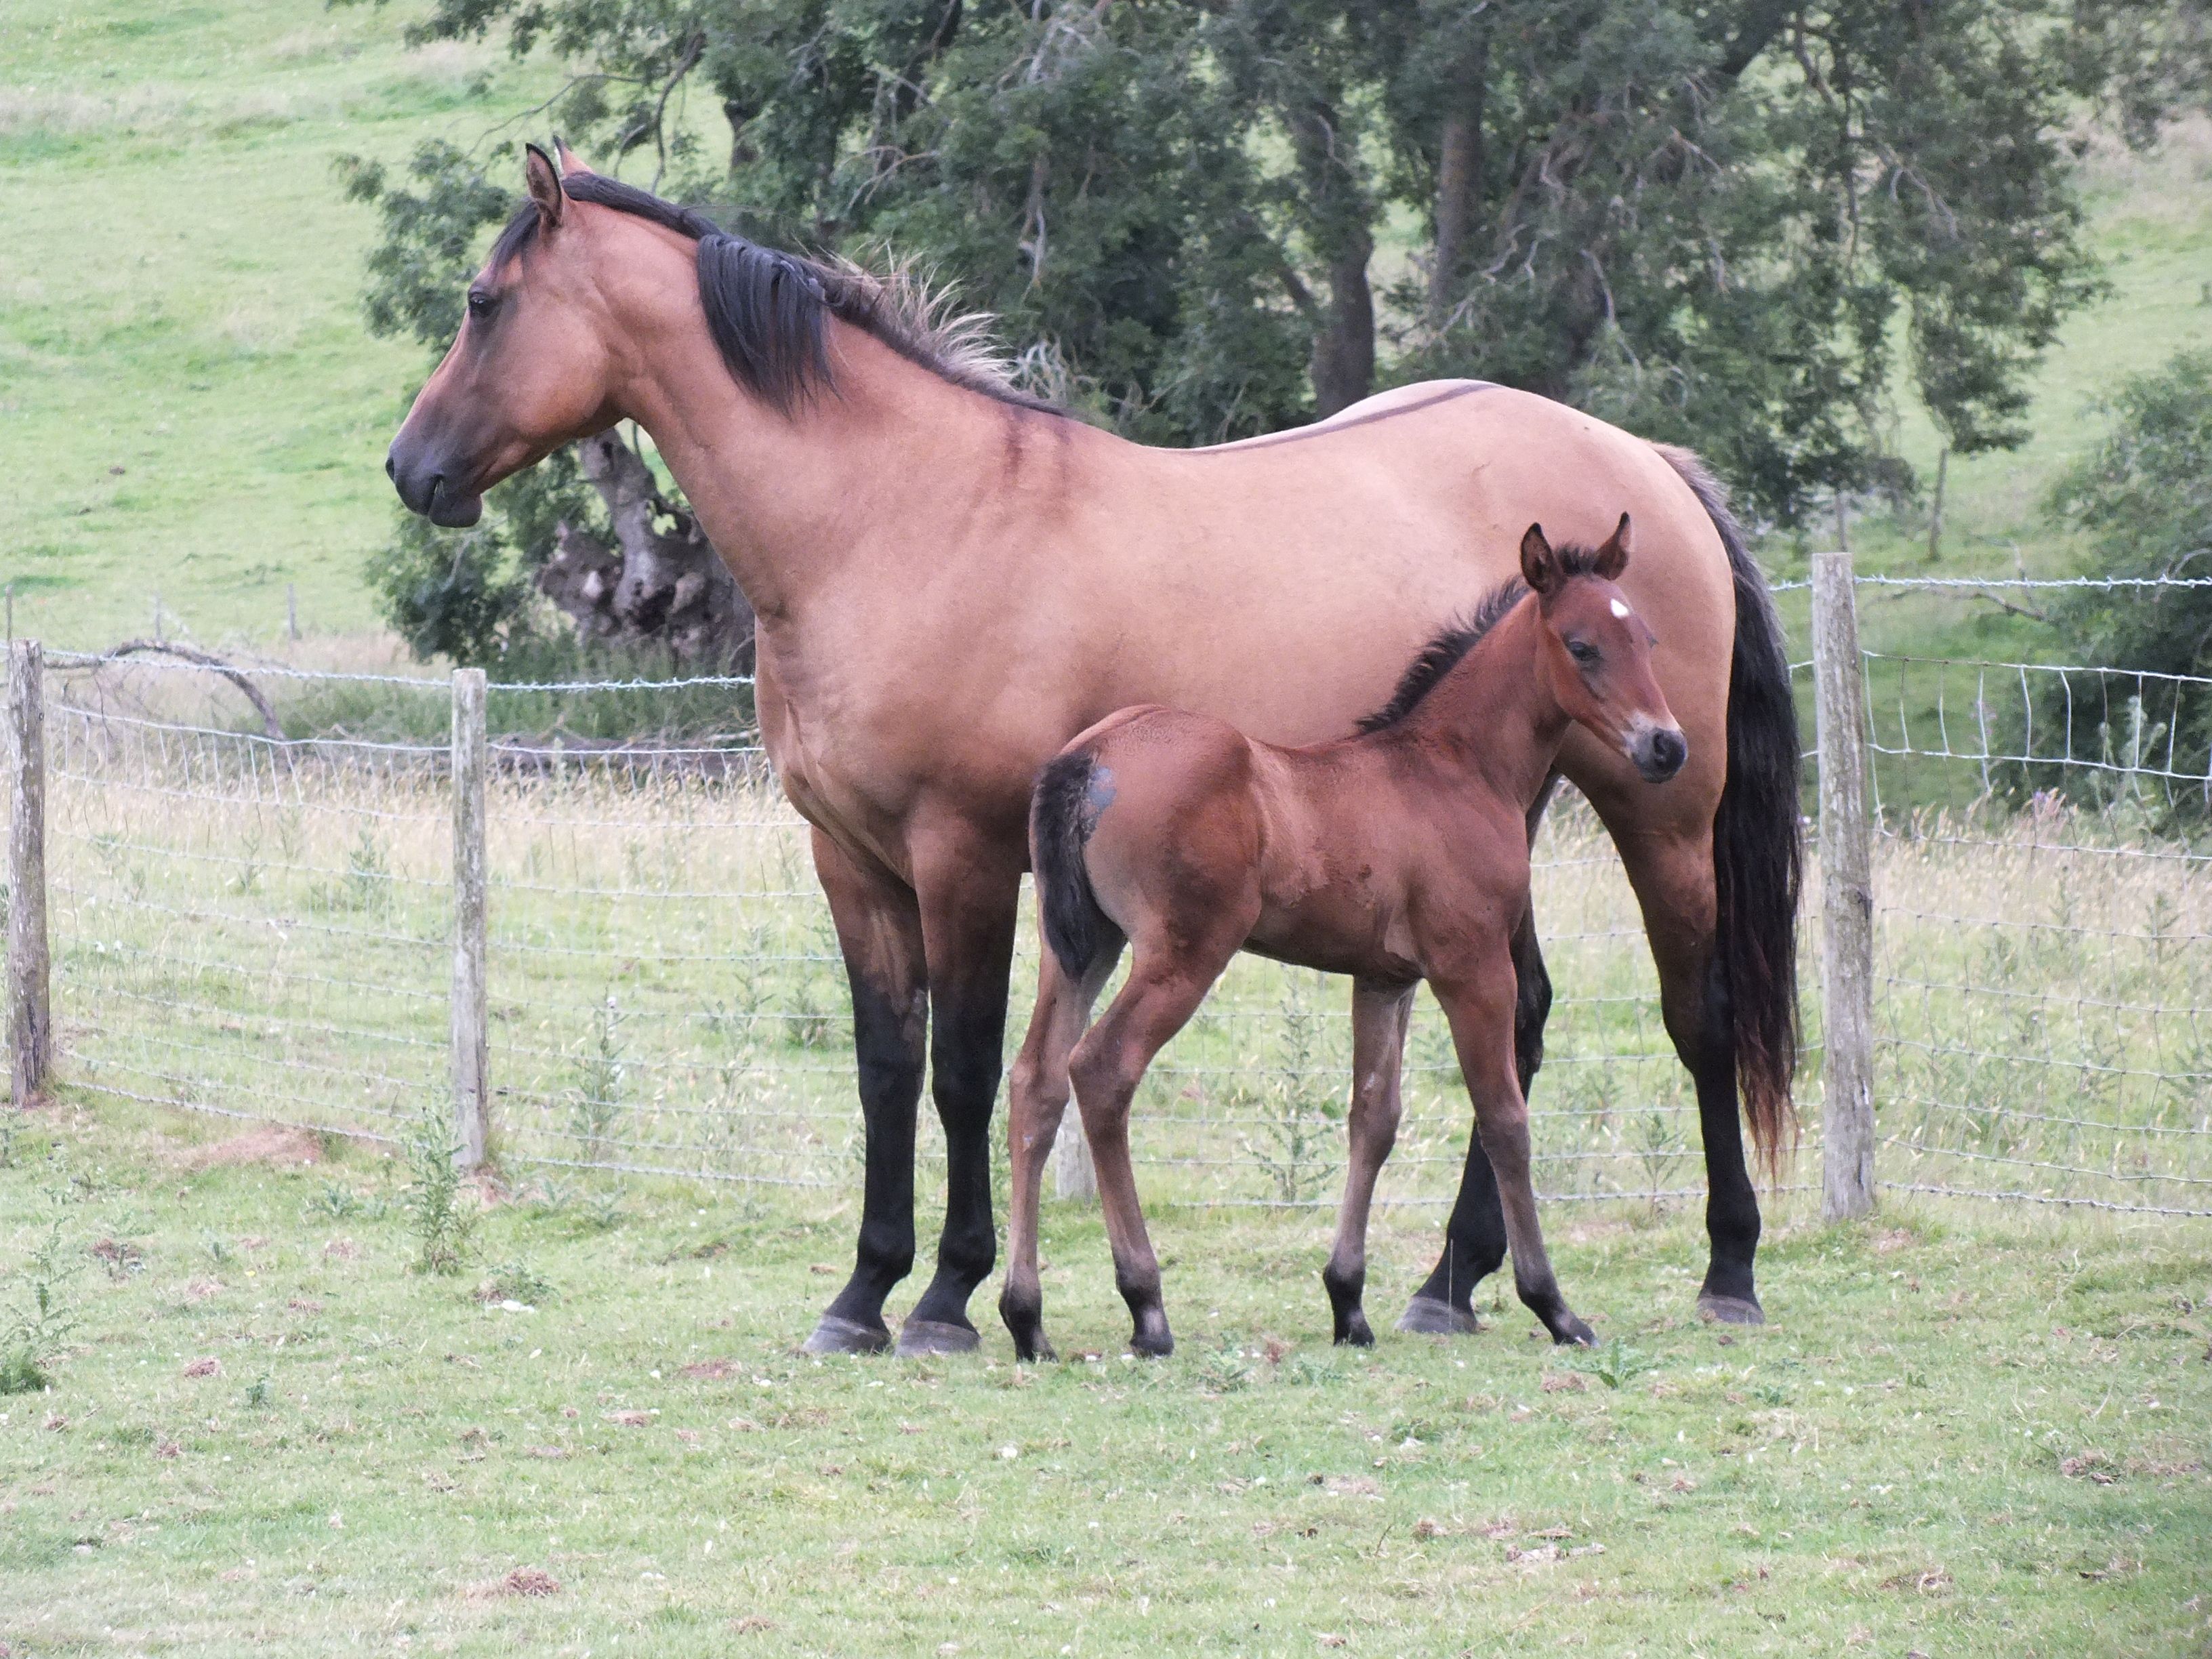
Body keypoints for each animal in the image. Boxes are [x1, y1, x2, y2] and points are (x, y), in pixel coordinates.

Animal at [1000, 518, 1676, 1360]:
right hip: (1182, 954)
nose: (1667, 747)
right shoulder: (1473, 968)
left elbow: (1373, 1119)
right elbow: (1505, 1119)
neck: (1455, 768)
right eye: (1582, 646)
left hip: (1081, 949)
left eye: (1646, 637)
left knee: (1036, 1082)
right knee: (1100, 1070)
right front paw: (1553, 1306)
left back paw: (1026, 1317)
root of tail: (1090, 755)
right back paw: (1146, 1306)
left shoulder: (1386, 978)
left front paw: (1348, 1303)